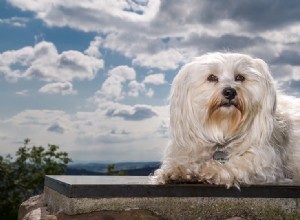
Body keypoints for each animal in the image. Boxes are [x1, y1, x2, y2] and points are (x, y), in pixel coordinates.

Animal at [151, 52, 300, 187]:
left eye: (240, 77)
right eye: (211, 77)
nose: (230, 92)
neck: (223, 128)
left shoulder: (261, 163)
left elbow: (230, 166)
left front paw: (205, 170)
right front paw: (176, 172)